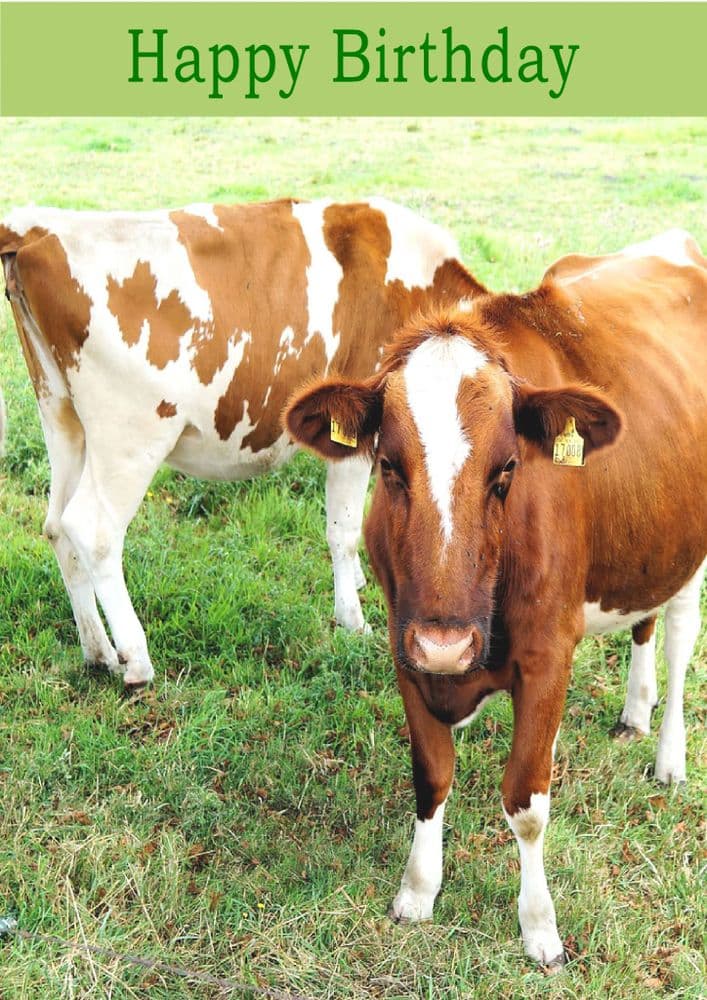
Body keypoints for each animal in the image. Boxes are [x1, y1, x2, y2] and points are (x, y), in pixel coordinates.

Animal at [0, 198, 483, 686]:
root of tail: (42, 225)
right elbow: (344, 530)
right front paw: (353, 620)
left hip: (62, 416)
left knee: (57, 525)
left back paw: (98, 650)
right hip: (130, 434)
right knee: (92, 529)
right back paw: (135, 659)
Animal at [285, 229, 707, 967]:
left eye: (507, 470)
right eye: (387, 467)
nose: (447, 644)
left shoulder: (546, 656)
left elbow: (526, 802)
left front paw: (539, 927)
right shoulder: (405, 643)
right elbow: (431, 774)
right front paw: (418, 890)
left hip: (693, 547)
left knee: (681, 638)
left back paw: (668, 756)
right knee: (643, 624)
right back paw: (634, 709)